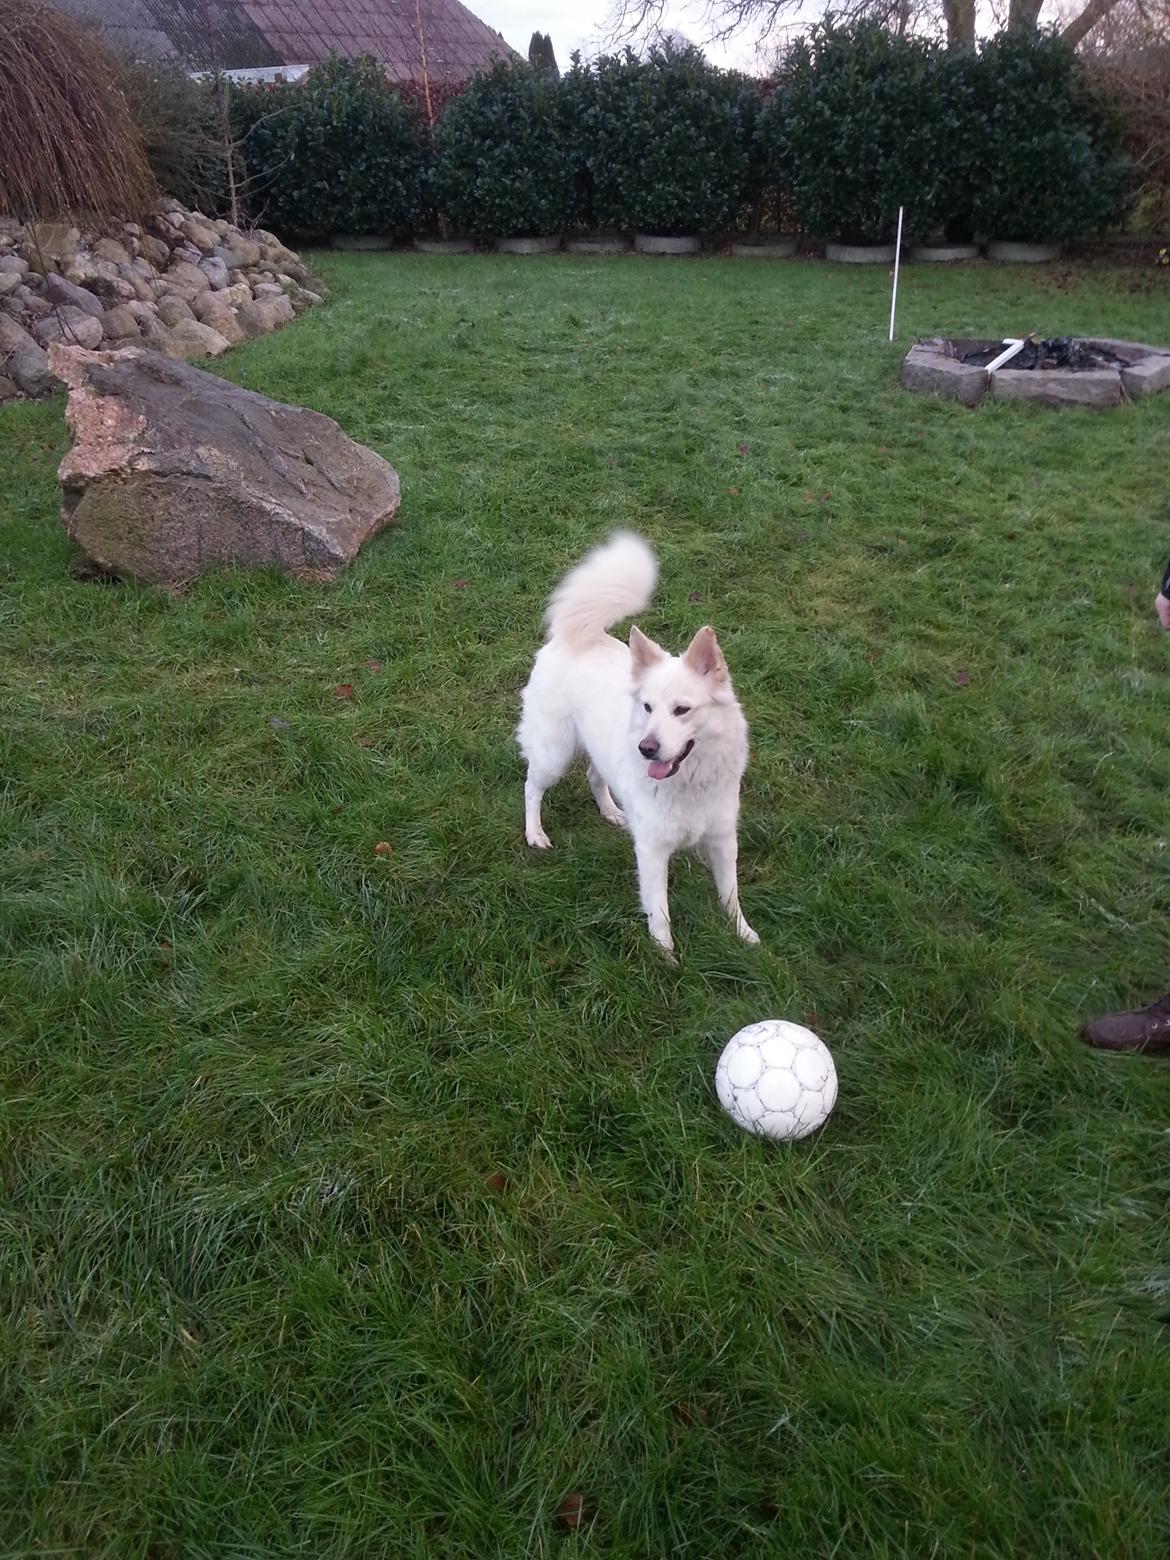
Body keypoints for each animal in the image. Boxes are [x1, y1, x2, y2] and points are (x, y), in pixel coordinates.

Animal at [514, 530, 761, 954]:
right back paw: (536, 834)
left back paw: (613, 812)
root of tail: (570, 635)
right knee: (532, 787)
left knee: (594, 777)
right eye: (647, 706)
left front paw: (743, 935)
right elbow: (659, 909)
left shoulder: (722, 839)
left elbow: (731, 895)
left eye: (682, 709)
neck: (689, 782)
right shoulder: (652, 850)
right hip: (554, 754)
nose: (646, 749)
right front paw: (665, 955)